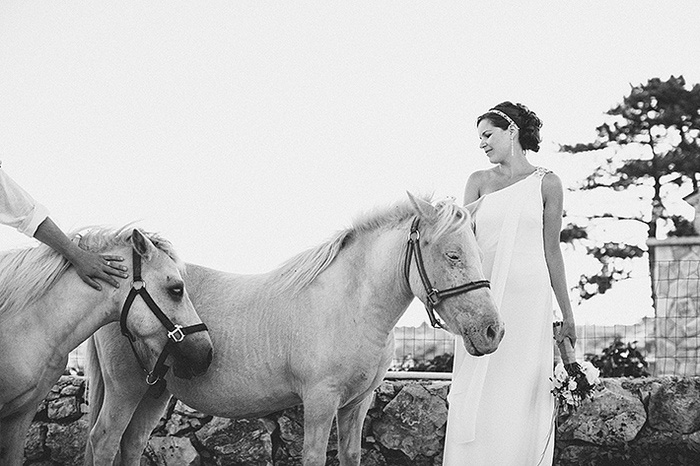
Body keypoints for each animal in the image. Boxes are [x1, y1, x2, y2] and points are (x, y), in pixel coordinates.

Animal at [86, 194, 504, 466]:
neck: (352, 306)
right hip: (127, 389)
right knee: (104, 442)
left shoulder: (356, 404)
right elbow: (314, 457)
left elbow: (350, 455)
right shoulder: (320, 401)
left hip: (154, 392)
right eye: (453, 255)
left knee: (132, 443)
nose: (492, 331)